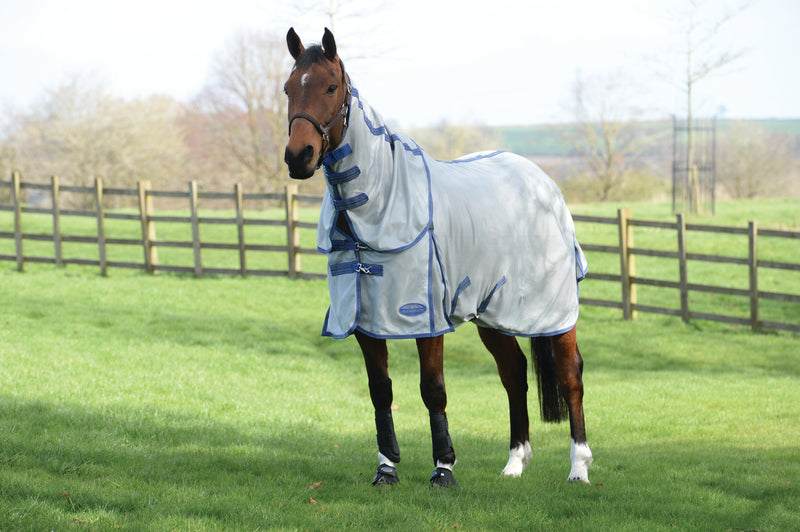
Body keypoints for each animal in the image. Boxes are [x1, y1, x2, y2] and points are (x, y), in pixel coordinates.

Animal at [283, 27, 593, 488]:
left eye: (330, 87)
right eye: (288, 88)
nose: (298, 156)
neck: (380, 202)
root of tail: (544, 183)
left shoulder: (425, 317)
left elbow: (433, 388)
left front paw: (443, 468)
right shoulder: (364, 321)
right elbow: (381, 390)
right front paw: (386, 468)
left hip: (554, 311)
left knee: (571, 375)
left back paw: (578, 468)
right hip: (492, 311)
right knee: (514, 374)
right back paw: (514, 463)